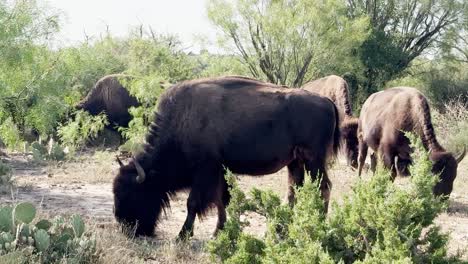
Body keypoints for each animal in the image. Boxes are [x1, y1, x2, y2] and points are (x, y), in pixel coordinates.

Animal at [113, 76, 340, 237]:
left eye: (132, 193)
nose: (125, 226)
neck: (183, 120)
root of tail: (327, 102)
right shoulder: (219, 171)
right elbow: (221, 200)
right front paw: (218, 232)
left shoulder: (205, 171)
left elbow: (193, 203)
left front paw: (183, 235)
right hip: (295, 162)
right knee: (294, 190)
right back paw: (281, 229)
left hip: (314, 160)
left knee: (324, 187)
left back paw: (318, 224)